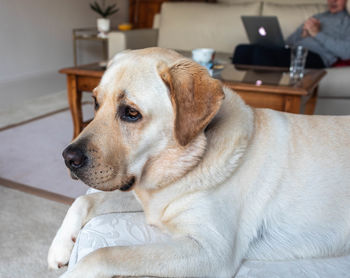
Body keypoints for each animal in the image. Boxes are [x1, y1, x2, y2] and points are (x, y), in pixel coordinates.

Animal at [48, 48, 350, 278]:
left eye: (131, 113)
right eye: (95, 103)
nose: (68, 158)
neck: (181, 166)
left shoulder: (211, 250)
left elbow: (105, 254)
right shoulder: (149, 200)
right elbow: (85, 200)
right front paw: (60, 246)